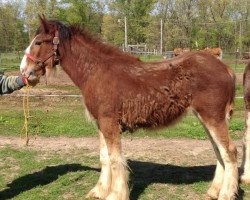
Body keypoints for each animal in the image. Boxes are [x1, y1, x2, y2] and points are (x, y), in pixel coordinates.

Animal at [20, 15, 237, 200]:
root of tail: (225, 68)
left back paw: (226, 194)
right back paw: (213, 191)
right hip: (206, 118)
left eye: (38, 42)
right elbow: (105, 158)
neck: (95, 72)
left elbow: (116, 160)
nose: (25, 71)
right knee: (219, 152)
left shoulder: (109, 123)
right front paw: (99, 191)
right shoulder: (101, 124)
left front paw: (116, 194)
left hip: (213, 117)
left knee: (230, 152)